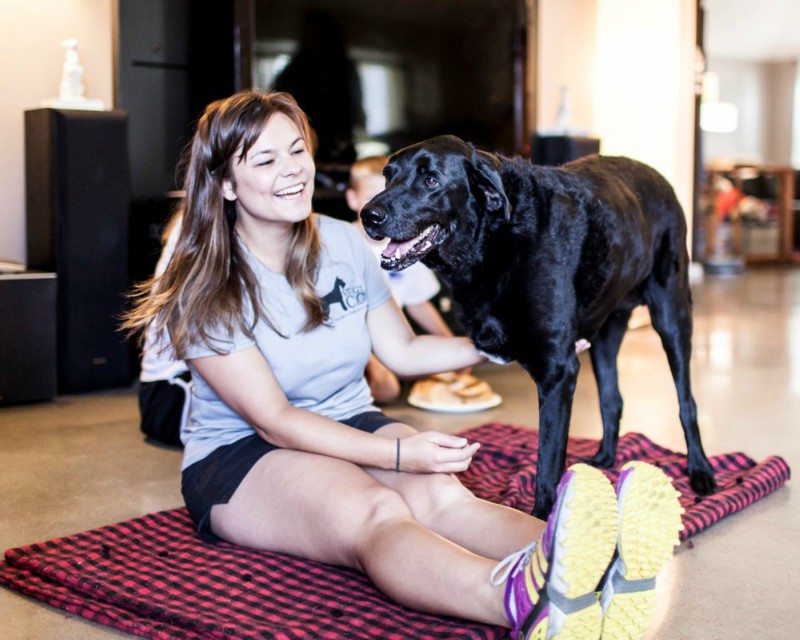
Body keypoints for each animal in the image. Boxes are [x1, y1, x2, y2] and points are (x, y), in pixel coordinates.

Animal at [362, 136, 720, 520]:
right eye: (388, 177)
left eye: (431, 180)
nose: (368, 215)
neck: (495, 241)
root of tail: (657, 176)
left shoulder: (557, 372)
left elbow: (547, 458)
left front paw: (541, 518)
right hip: (606, 334)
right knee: (612, 400)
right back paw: (605, 458)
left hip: (672, 316)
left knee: (687, 402)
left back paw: (700, 471)